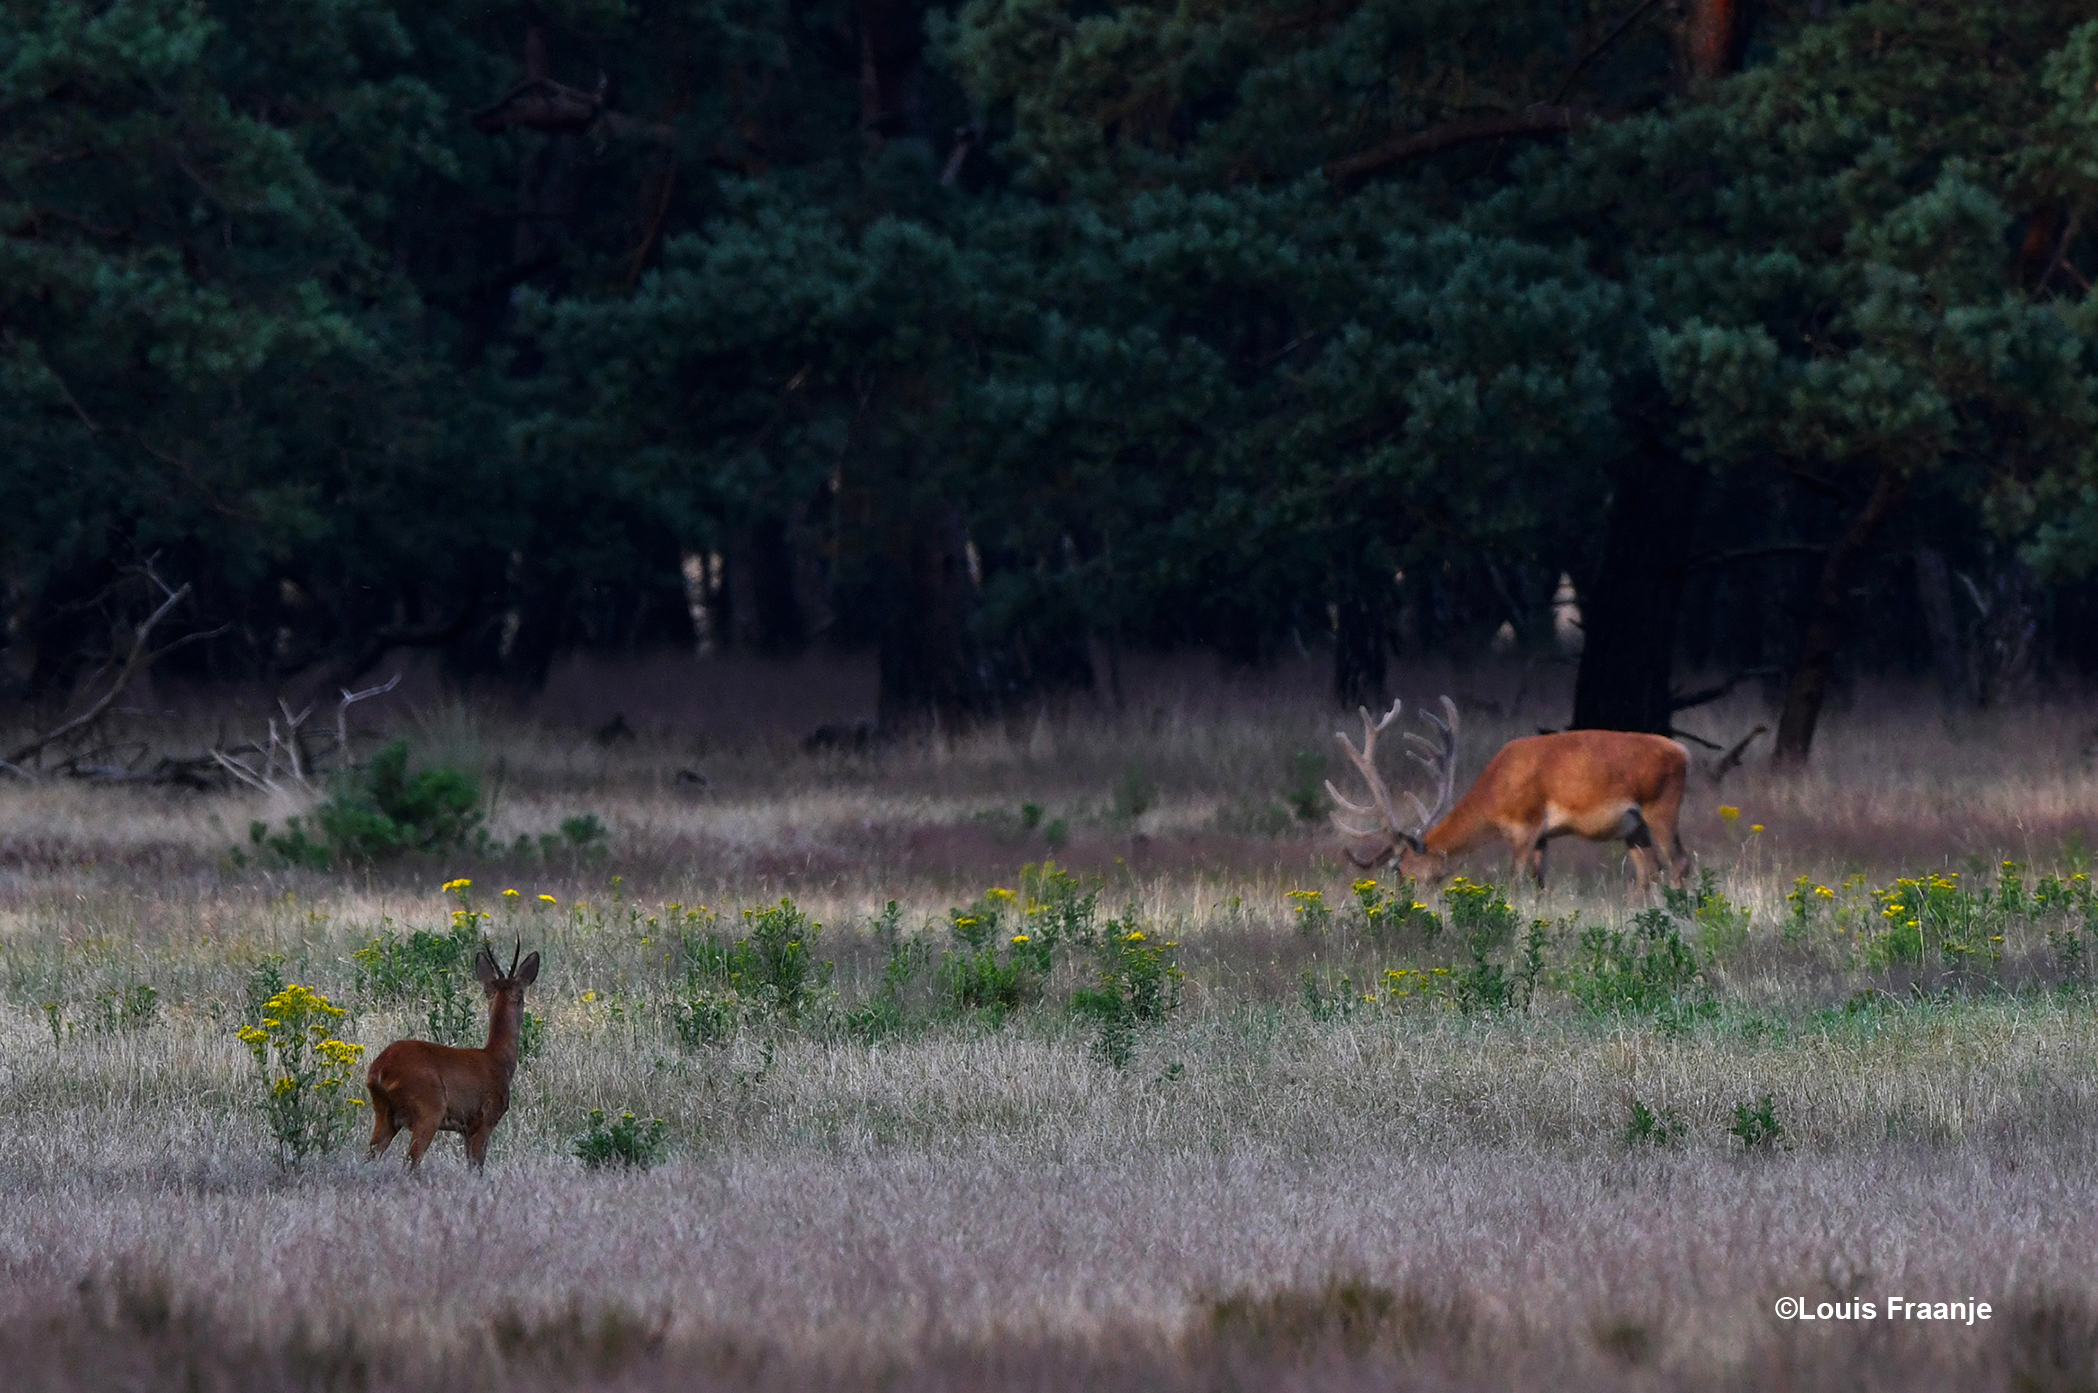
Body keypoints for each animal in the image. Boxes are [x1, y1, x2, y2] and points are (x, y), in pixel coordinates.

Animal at [367, 939, 541, 1166]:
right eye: (521, 994)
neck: (498, 1060)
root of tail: (379, 1070)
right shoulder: (485, 1121)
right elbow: (477, 1166)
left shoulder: (466, 1129)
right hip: (428, 1110)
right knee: (411, 1161)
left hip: (385, 1115)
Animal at [1334, 696, 1695, 893]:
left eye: (1405, 871)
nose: (1409, 899)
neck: (1495, 798)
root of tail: (1684, 753)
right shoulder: (1542, 835)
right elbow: (1539, 882)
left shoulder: (1526, 824)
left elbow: (1516, 880)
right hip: (1633, 826)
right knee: (1650, 871)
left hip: (1662, 806)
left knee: (1679, 863)